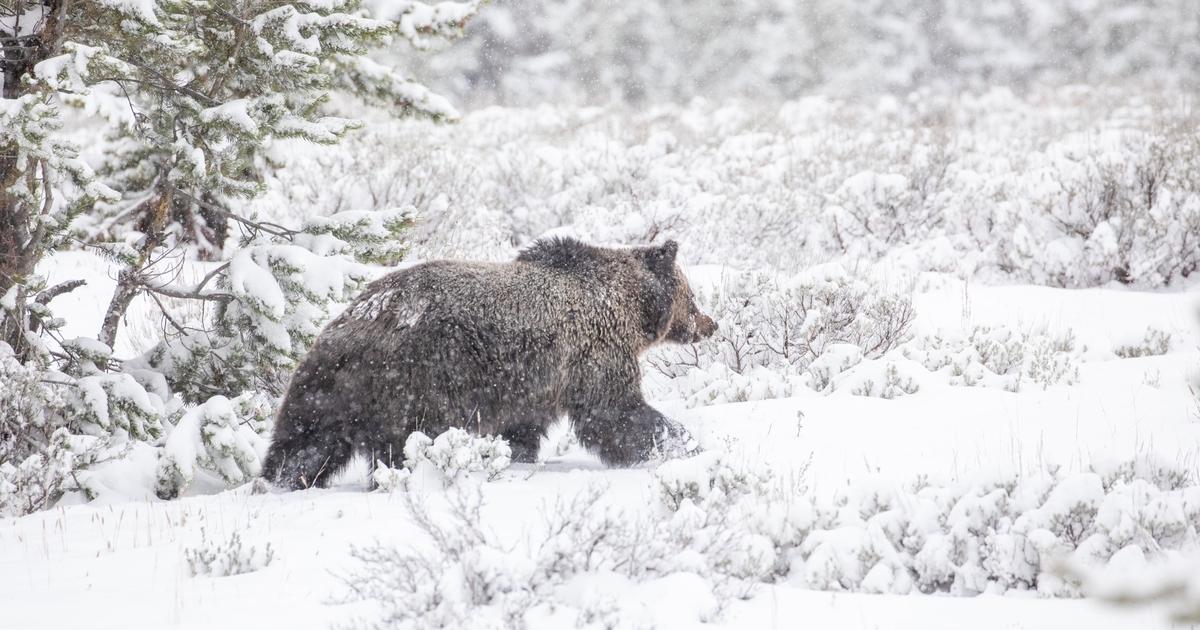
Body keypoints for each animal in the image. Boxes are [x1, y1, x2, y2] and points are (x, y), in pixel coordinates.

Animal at [260, 235, 710, 487]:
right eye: (693, 296)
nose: (710, 323)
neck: (631, 308)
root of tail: (357, 320)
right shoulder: (591, 351)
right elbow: (615, 411)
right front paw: (681, 442)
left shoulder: (528, 381)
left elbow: (522, 428)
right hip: (417, 380)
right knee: (406, 443)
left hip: (326, 384)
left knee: (303, 439)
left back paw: (279, 480)